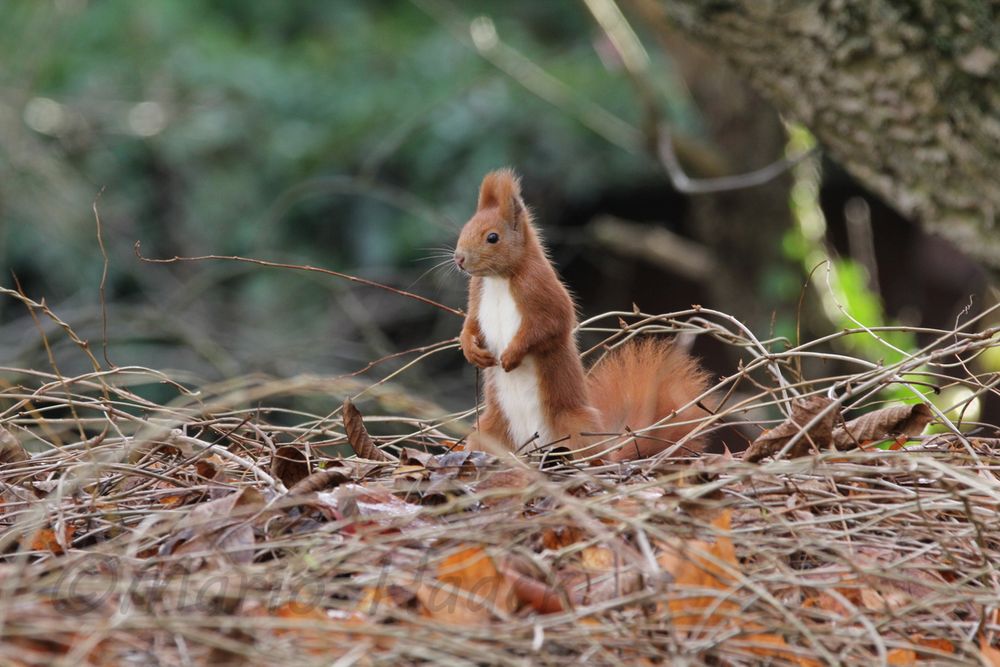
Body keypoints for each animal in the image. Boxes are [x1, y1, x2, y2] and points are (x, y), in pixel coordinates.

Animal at [458, 168, 708, 460]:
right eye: (464, 229)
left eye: (492, 237)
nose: (459, 259)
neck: (498, 279)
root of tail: (531, 448)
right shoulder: (477, 295)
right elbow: (471, 324)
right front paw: (470, 348)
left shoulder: (542, 290)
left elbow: (549, 325)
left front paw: (511, 355)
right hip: (487, 431)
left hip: (575, 427)